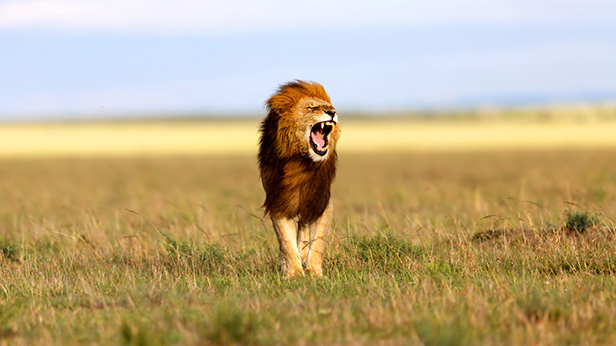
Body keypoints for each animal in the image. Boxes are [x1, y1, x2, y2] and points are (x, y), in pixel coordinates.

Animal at [256, 79, 340, 278]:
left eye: (331, 107)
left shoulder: (321, 201)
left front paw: (314, 272)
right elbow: (286, 241)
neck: (302, 161)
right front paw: (293, 272)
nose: (332, 112)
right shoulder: (279, 200)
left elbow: (318, 241)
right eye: (311, 107)